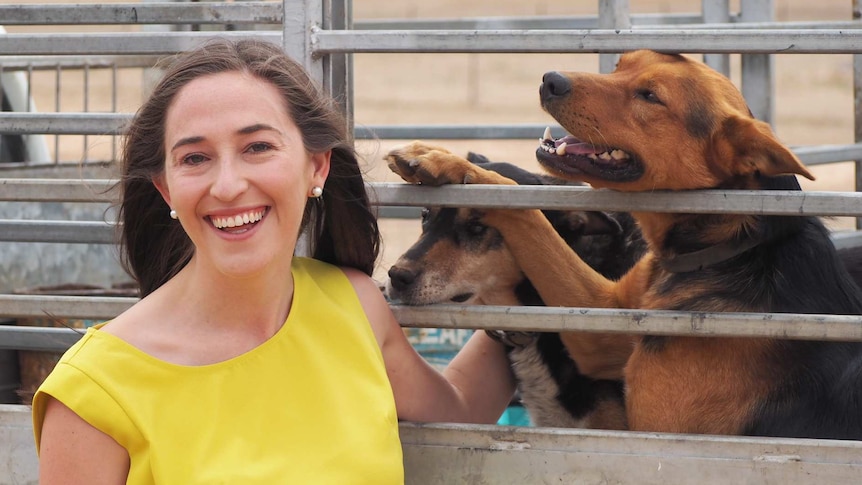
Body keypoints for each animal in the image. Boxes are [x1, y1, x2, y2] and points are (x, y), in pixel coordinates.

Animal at [388, 49, 862, 438]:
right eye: (620, 65)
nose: (550, 79)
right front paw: (444, 160)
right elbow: (529, 217)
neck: (728, 250)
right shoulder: (602, 324)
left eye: (650, 96)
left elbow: (522, 208)